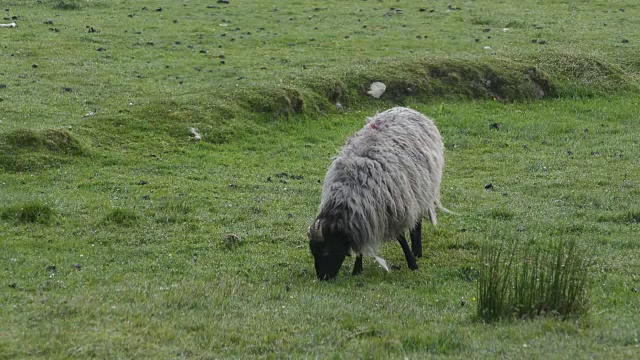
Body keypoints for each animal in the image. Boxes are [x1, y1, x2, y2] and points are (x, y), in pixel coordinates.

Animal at [306, 107, 450, 282]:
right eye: (313, 251)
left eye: (326, 249)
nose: (322, 278)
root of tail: (406, 108)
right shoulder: (363, 215)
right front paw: (357, 269)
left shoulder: (395, 206)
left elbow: (401, 238)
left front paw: (412, 263)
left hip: (421, 191)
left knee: (417, 222)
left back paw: (417, 251)